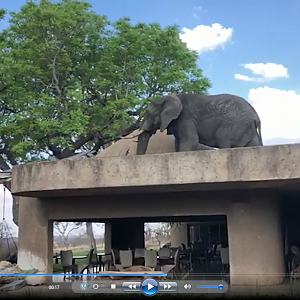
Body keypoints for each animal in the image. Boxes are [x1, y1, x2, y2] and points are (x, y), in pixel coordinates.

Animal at [127, 93, 264, 155]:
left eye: (149, 114)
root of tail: (256, 117)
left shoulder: (186, 119)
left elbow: (190, 142)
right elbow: (178, 144)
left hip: (235, 123)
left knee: (222, 138)